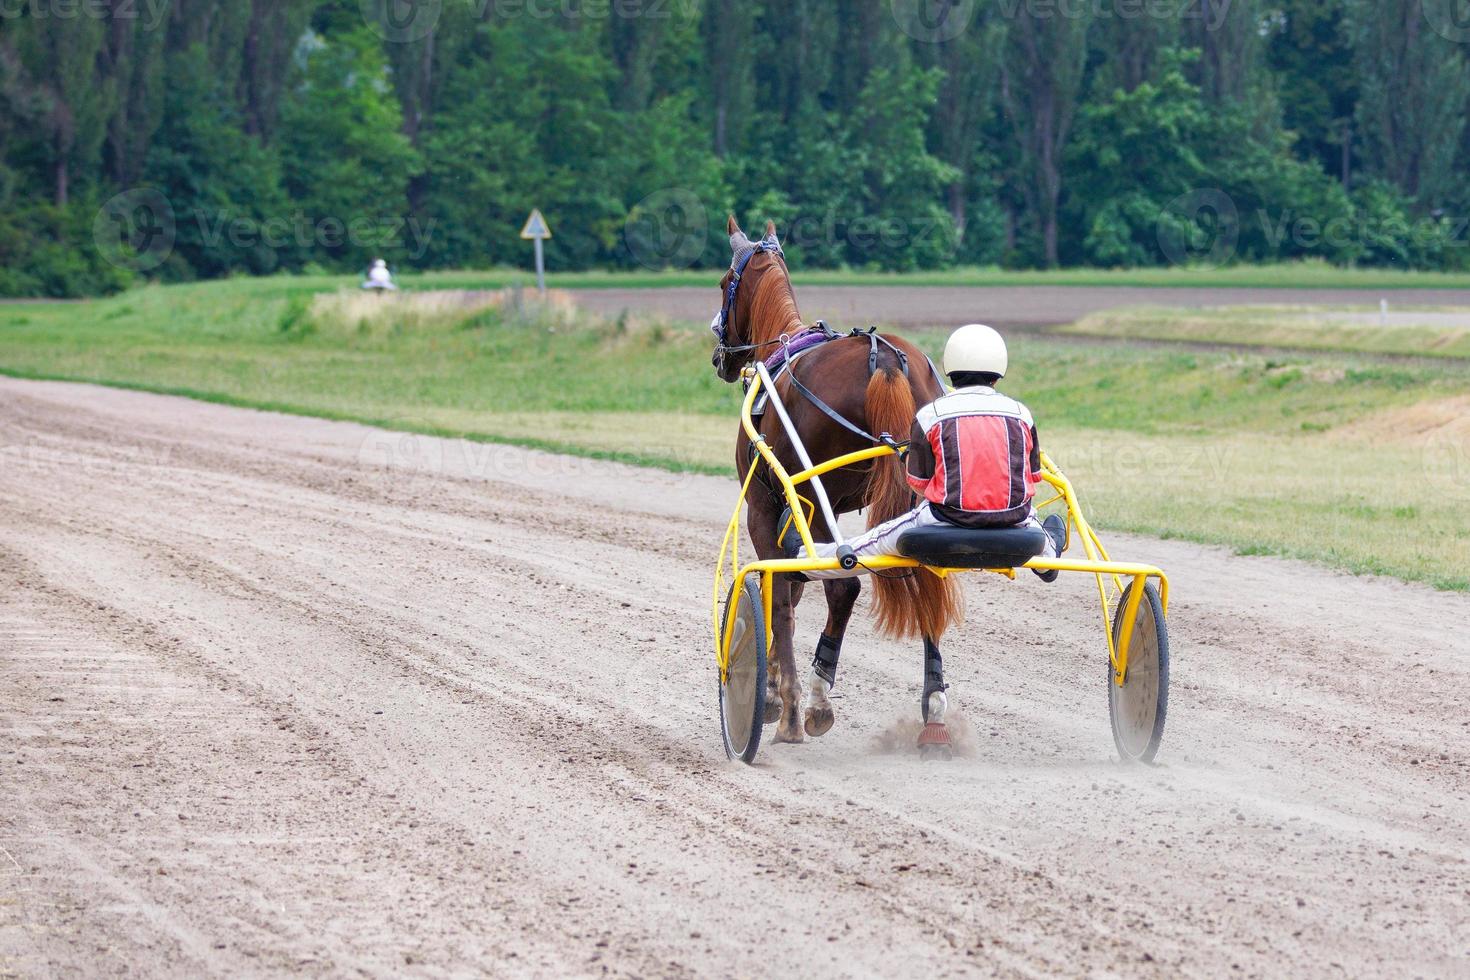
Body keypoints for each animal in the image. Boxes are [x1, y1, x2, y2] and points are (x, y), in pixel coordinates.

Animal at [711, 218, 964, 743]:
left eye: (725, 284)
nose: (718, 355)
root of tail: (884, 358)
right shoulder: (798, 513)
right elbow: (791, 586)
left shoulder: (767, 504)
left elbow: (778, 589)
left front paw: (775, 696)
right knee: (925, 578)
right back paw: (933, 707)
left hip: (815, 493)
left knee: (843, 587)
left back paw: (812, 701)